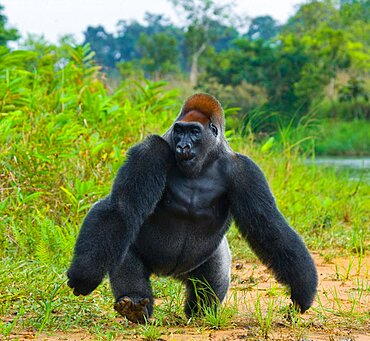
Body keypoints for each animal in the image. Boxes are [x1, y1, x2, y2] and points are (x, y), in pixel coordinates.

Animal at [67, 92, 318, 322]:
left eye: (195, 132)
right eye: (179, 130)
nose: (182, 146)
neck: (205, 160)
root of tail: (168, 274)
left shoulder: (245, 170)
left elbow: (268, 225)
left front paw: (302, 288)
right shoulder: (150, 151)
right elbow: (121, 207)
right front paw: (85, 273)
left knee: (214, 273)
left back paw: (200, 311)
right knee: (123, 243)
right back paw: (135, 305)